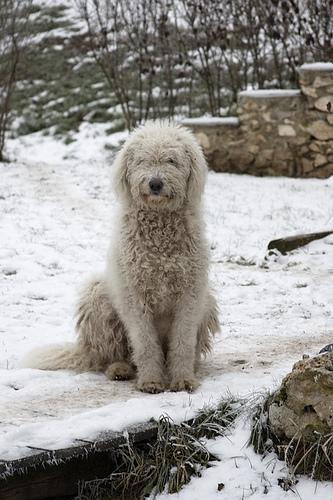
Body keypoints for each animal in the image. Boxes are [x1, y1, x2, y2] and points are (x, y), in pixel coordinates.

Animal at [24, 122, 219, 394]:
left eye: (171, 160)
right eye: (142, 160)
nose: (155, 183)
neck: (160, 230)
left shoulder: (190, 295)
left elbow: (182, 342)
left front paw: (182, 379)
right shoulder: (133, 296)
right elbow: (145, 344)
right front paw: (151, 381)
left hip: (207, 300)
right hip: (97, 296)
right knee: (113, 355)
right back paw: (120, 368)